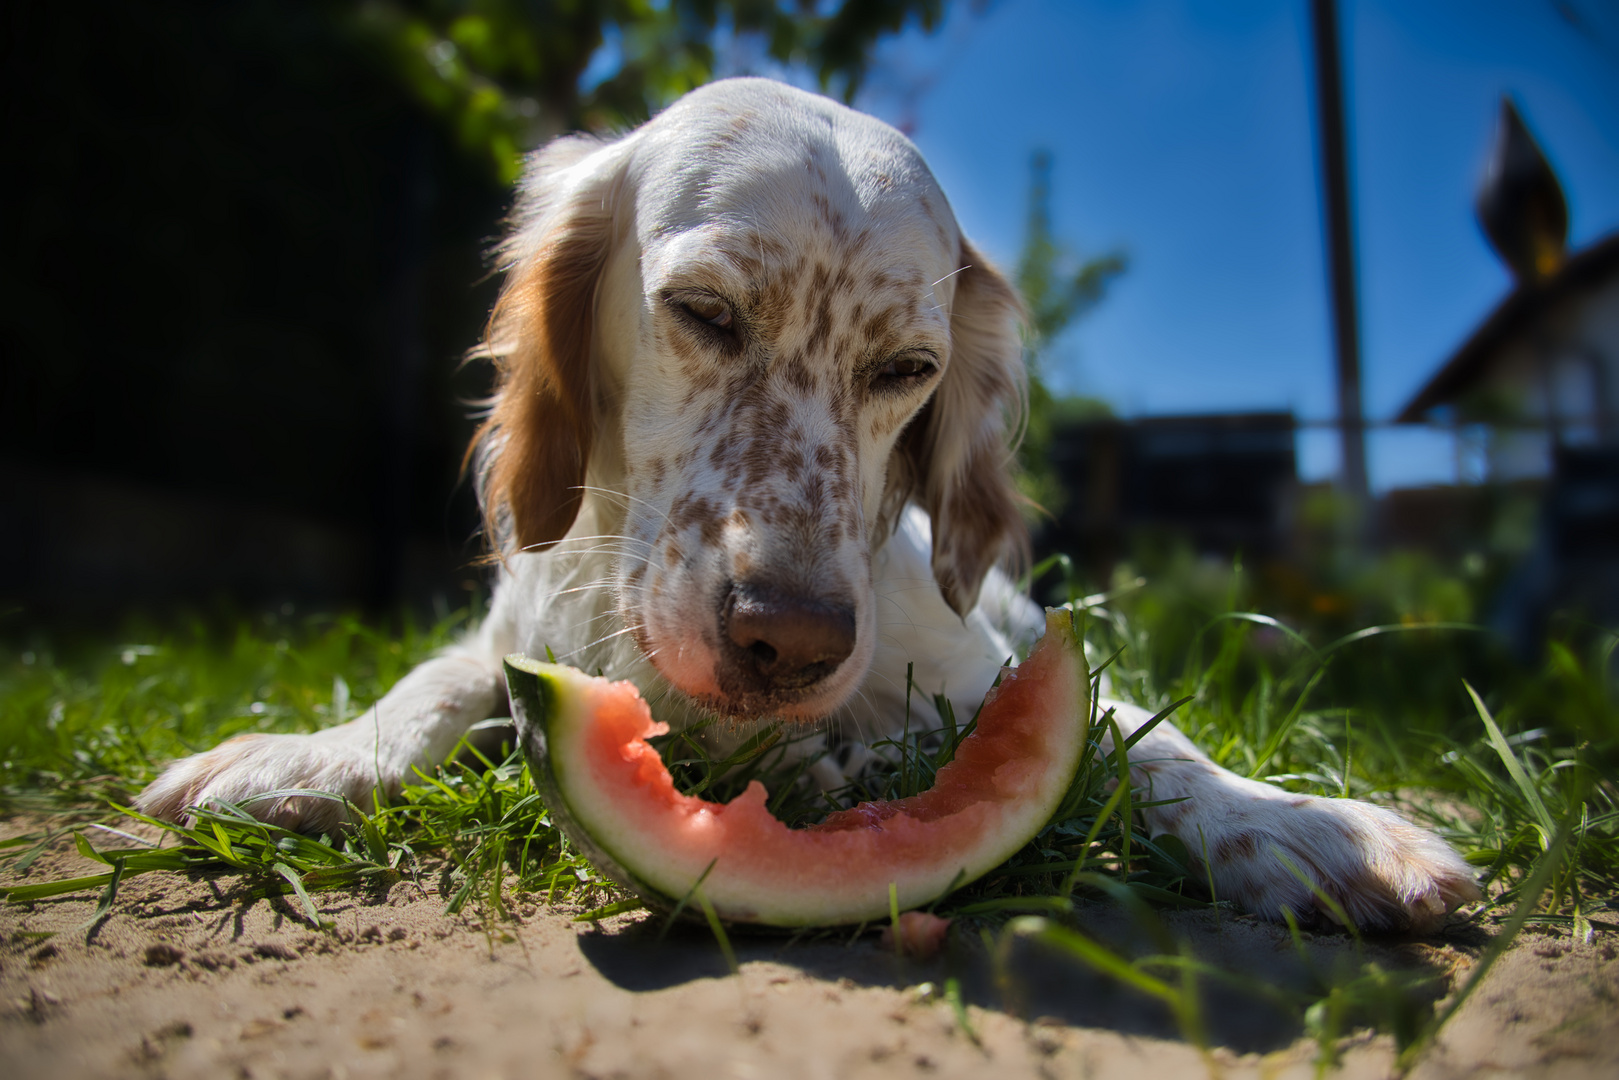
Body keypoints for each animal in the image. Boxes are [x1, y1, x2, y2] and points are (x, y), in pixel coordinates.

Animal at [142, 80, 1483, 932]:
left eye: (906, 371)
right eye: (701, 312)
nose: (787, 641)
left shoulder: (991, 668)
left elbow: (1135, 735)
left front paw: (1301, 828)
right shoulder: (511, 635)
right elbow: (428, 683)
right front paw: (307, 754)